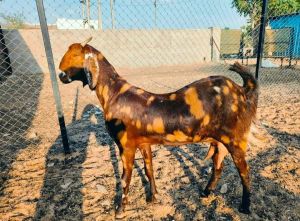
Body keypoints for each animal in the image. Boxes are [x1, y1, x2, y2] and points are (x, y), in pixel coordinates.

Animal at [58, 37, 258, 218]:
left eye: (75, 55)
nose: (60, 75)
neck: (115, 94)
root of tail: (242, 91)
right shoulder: (144, 143)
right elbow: (149, 170)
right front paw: (153, 197)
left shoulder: (126, 146)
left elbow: (125, 179)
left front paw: (120, 210)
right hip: (218, 141)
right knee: (218, 166)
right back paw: (205, 192)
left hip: (235, 139)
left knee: (245, 171)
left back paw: (245, 207)